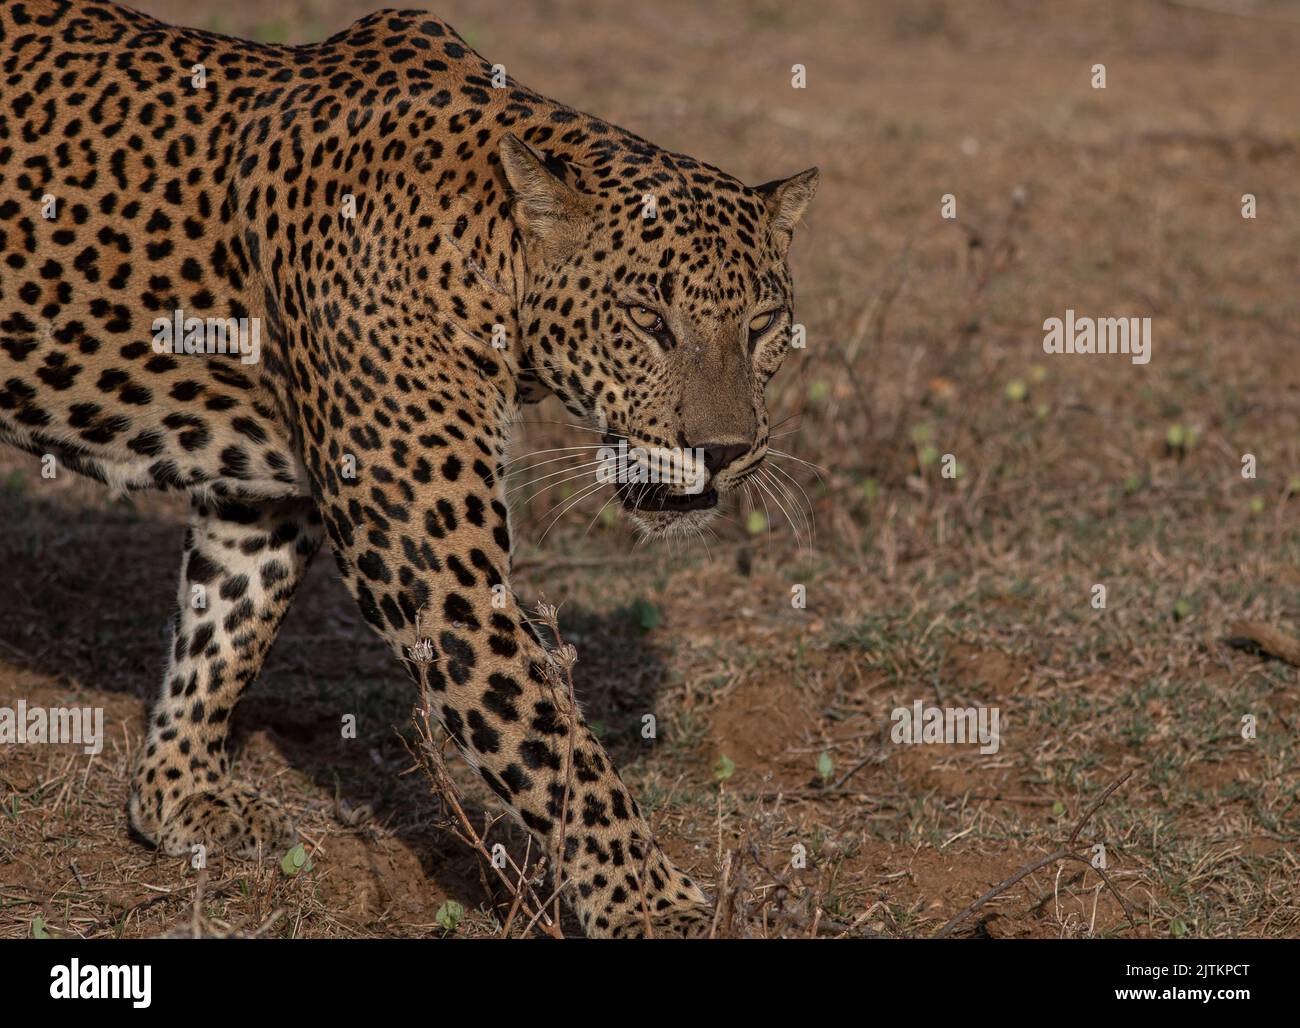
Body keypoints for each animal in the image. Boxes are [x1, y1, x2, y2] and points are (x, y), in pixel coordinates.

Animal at [0, 0, 817, 937]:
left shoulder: (264, 492)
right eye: (647, 319)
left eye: (763, 325)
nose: (722, 450)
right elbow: (553, 743)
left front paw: (177, 794)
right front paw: (653, 907)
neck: (491, 252)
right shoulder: (430, 566)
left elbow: (226, 624)